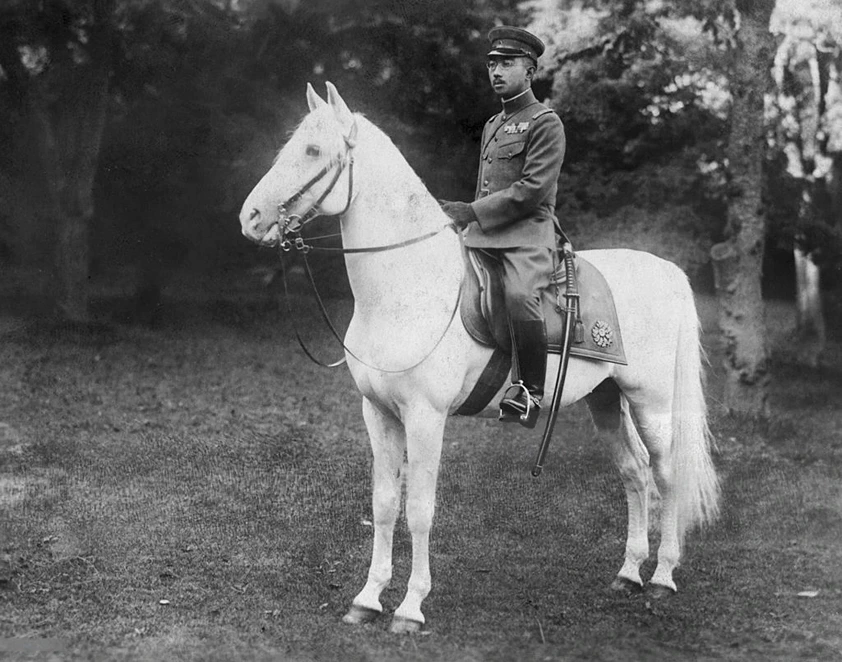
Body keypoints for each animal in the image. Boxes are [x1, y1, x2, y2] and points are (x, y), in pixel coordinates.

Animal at [239, 82, 720, 634]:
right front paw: (368, 597)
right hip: (605, 399)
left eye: (314, 151)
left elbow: (419, 509)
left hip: (652, 403)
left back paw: (662, 577)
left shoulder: (425, 418)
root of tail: (664, 268)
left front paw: (410, 606)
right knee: (635, 473)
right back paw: (628, 572)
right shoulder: (378, 414)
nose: (250, 218)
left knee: (665, 474)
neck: (407, 285)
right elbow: (384, 504)